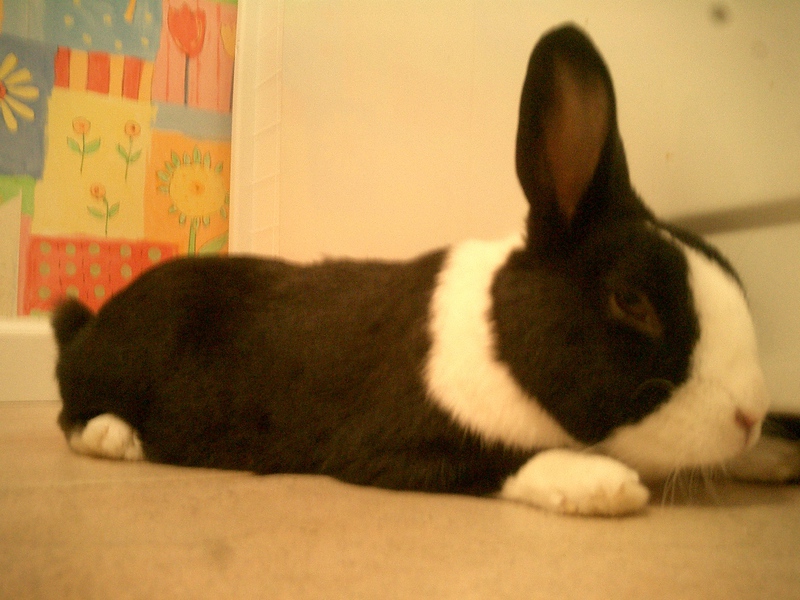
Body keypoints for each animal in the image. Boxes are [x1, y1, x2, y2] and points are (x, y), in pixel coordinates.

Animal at [52, 23, 784, 517]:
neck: (501, 338)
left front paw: (774, 456)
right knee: (69, 415)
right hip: (119, 363)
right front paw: (602, 485)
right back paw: (116, 437)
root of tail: (83, 329)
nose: (751, 414)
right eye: (631, 301)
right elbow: (502, 461)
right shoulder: (400, 445)